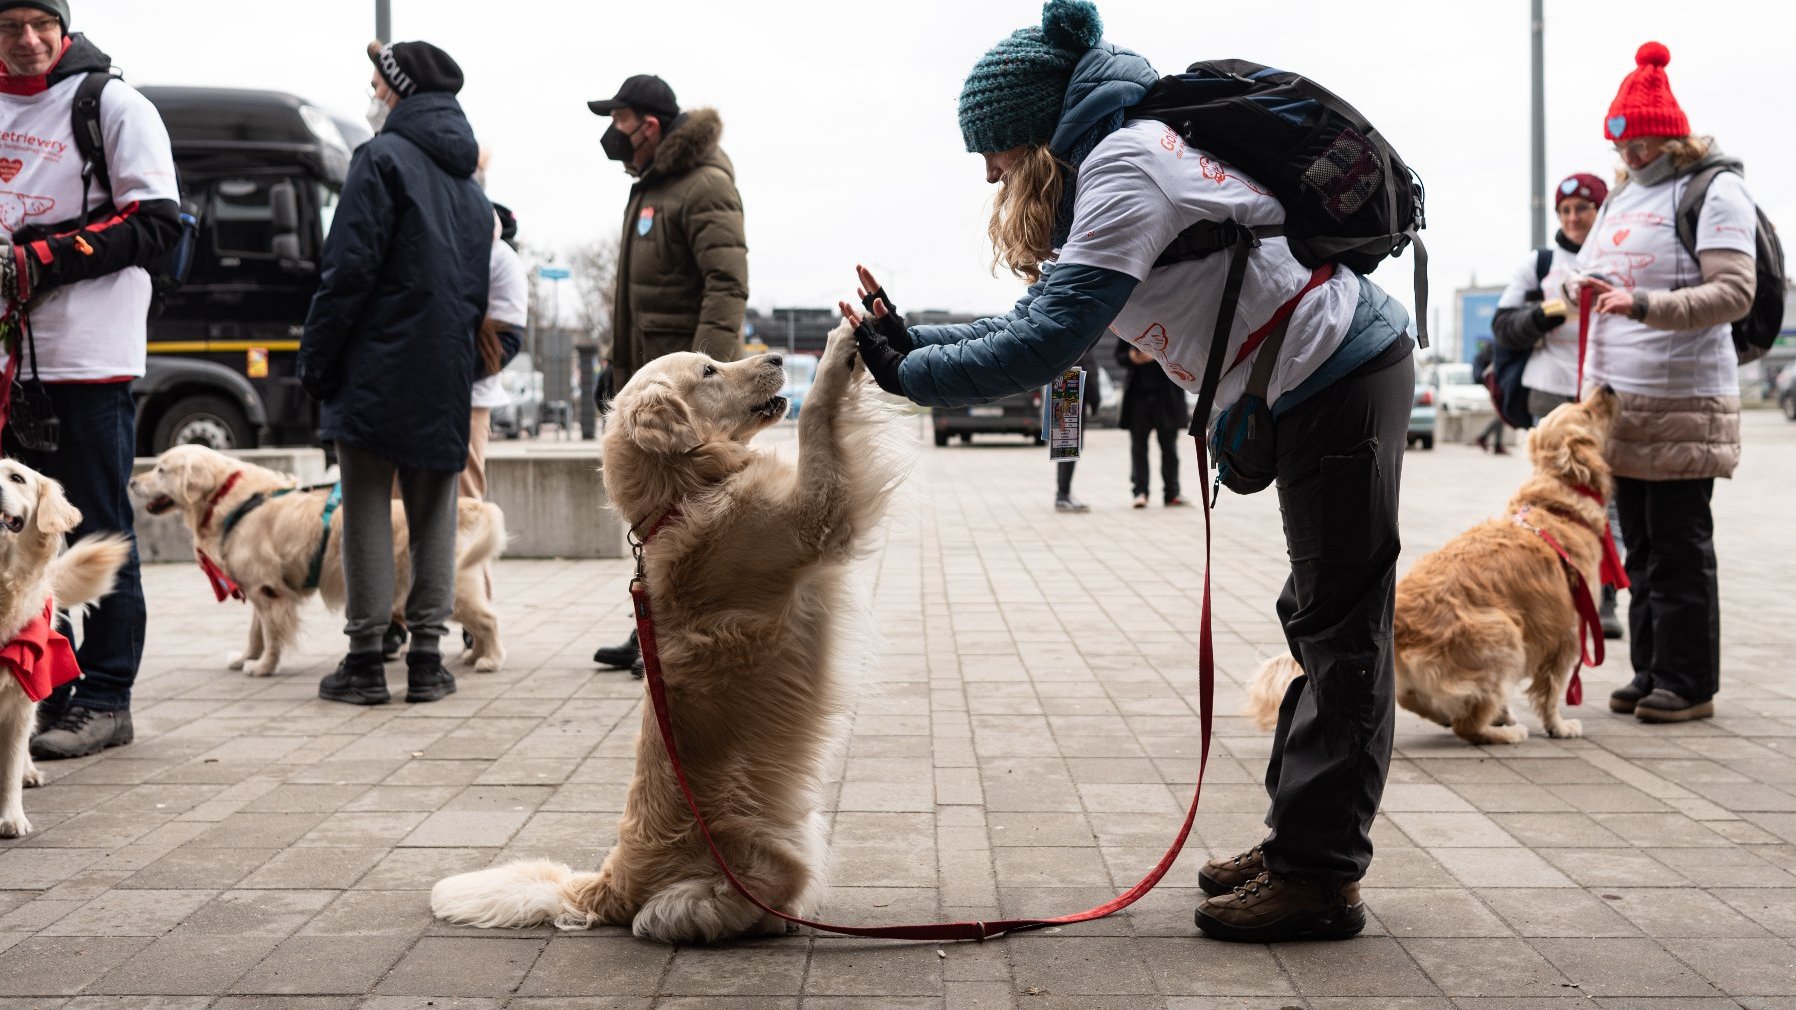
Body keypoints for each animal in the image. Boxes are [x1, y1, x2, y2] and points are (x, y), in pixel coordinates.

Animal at [131, 445, 506, 675]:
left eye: (161, 469)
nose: (133, 480)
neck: (230, 496)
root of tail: (464, 508)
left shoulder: (269, 592)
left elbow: (271, 636)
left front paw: (264, 667)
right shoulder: (259, 587)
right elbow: (255, 633)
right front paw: (245, 658)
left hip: (449, 591)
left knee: (489, 619)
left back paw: (490, 659)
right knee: (481, 620)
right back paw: (475, 654)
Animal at [432, 318, 905, 941]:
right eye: (708, 370)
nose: (779, 358)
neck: (685, 492)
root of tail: (610, 885)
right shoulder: (813, 515)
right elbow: (815, 421)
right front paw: (836, 351)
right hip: (760, 865)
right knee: (685, 913)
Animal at [1250, 389, 1630, 744]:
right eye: (1586, 411)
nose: (1609, 388)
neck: (1556, 505)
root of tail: (1400, 613)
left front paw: (1510, 714)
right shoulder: (1568, 631)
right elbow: (1551, 692)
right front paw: (1559, 726)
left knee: (1415, 699)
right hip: (1506, 636)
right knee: (1467, 725)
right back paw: (1504, 733)